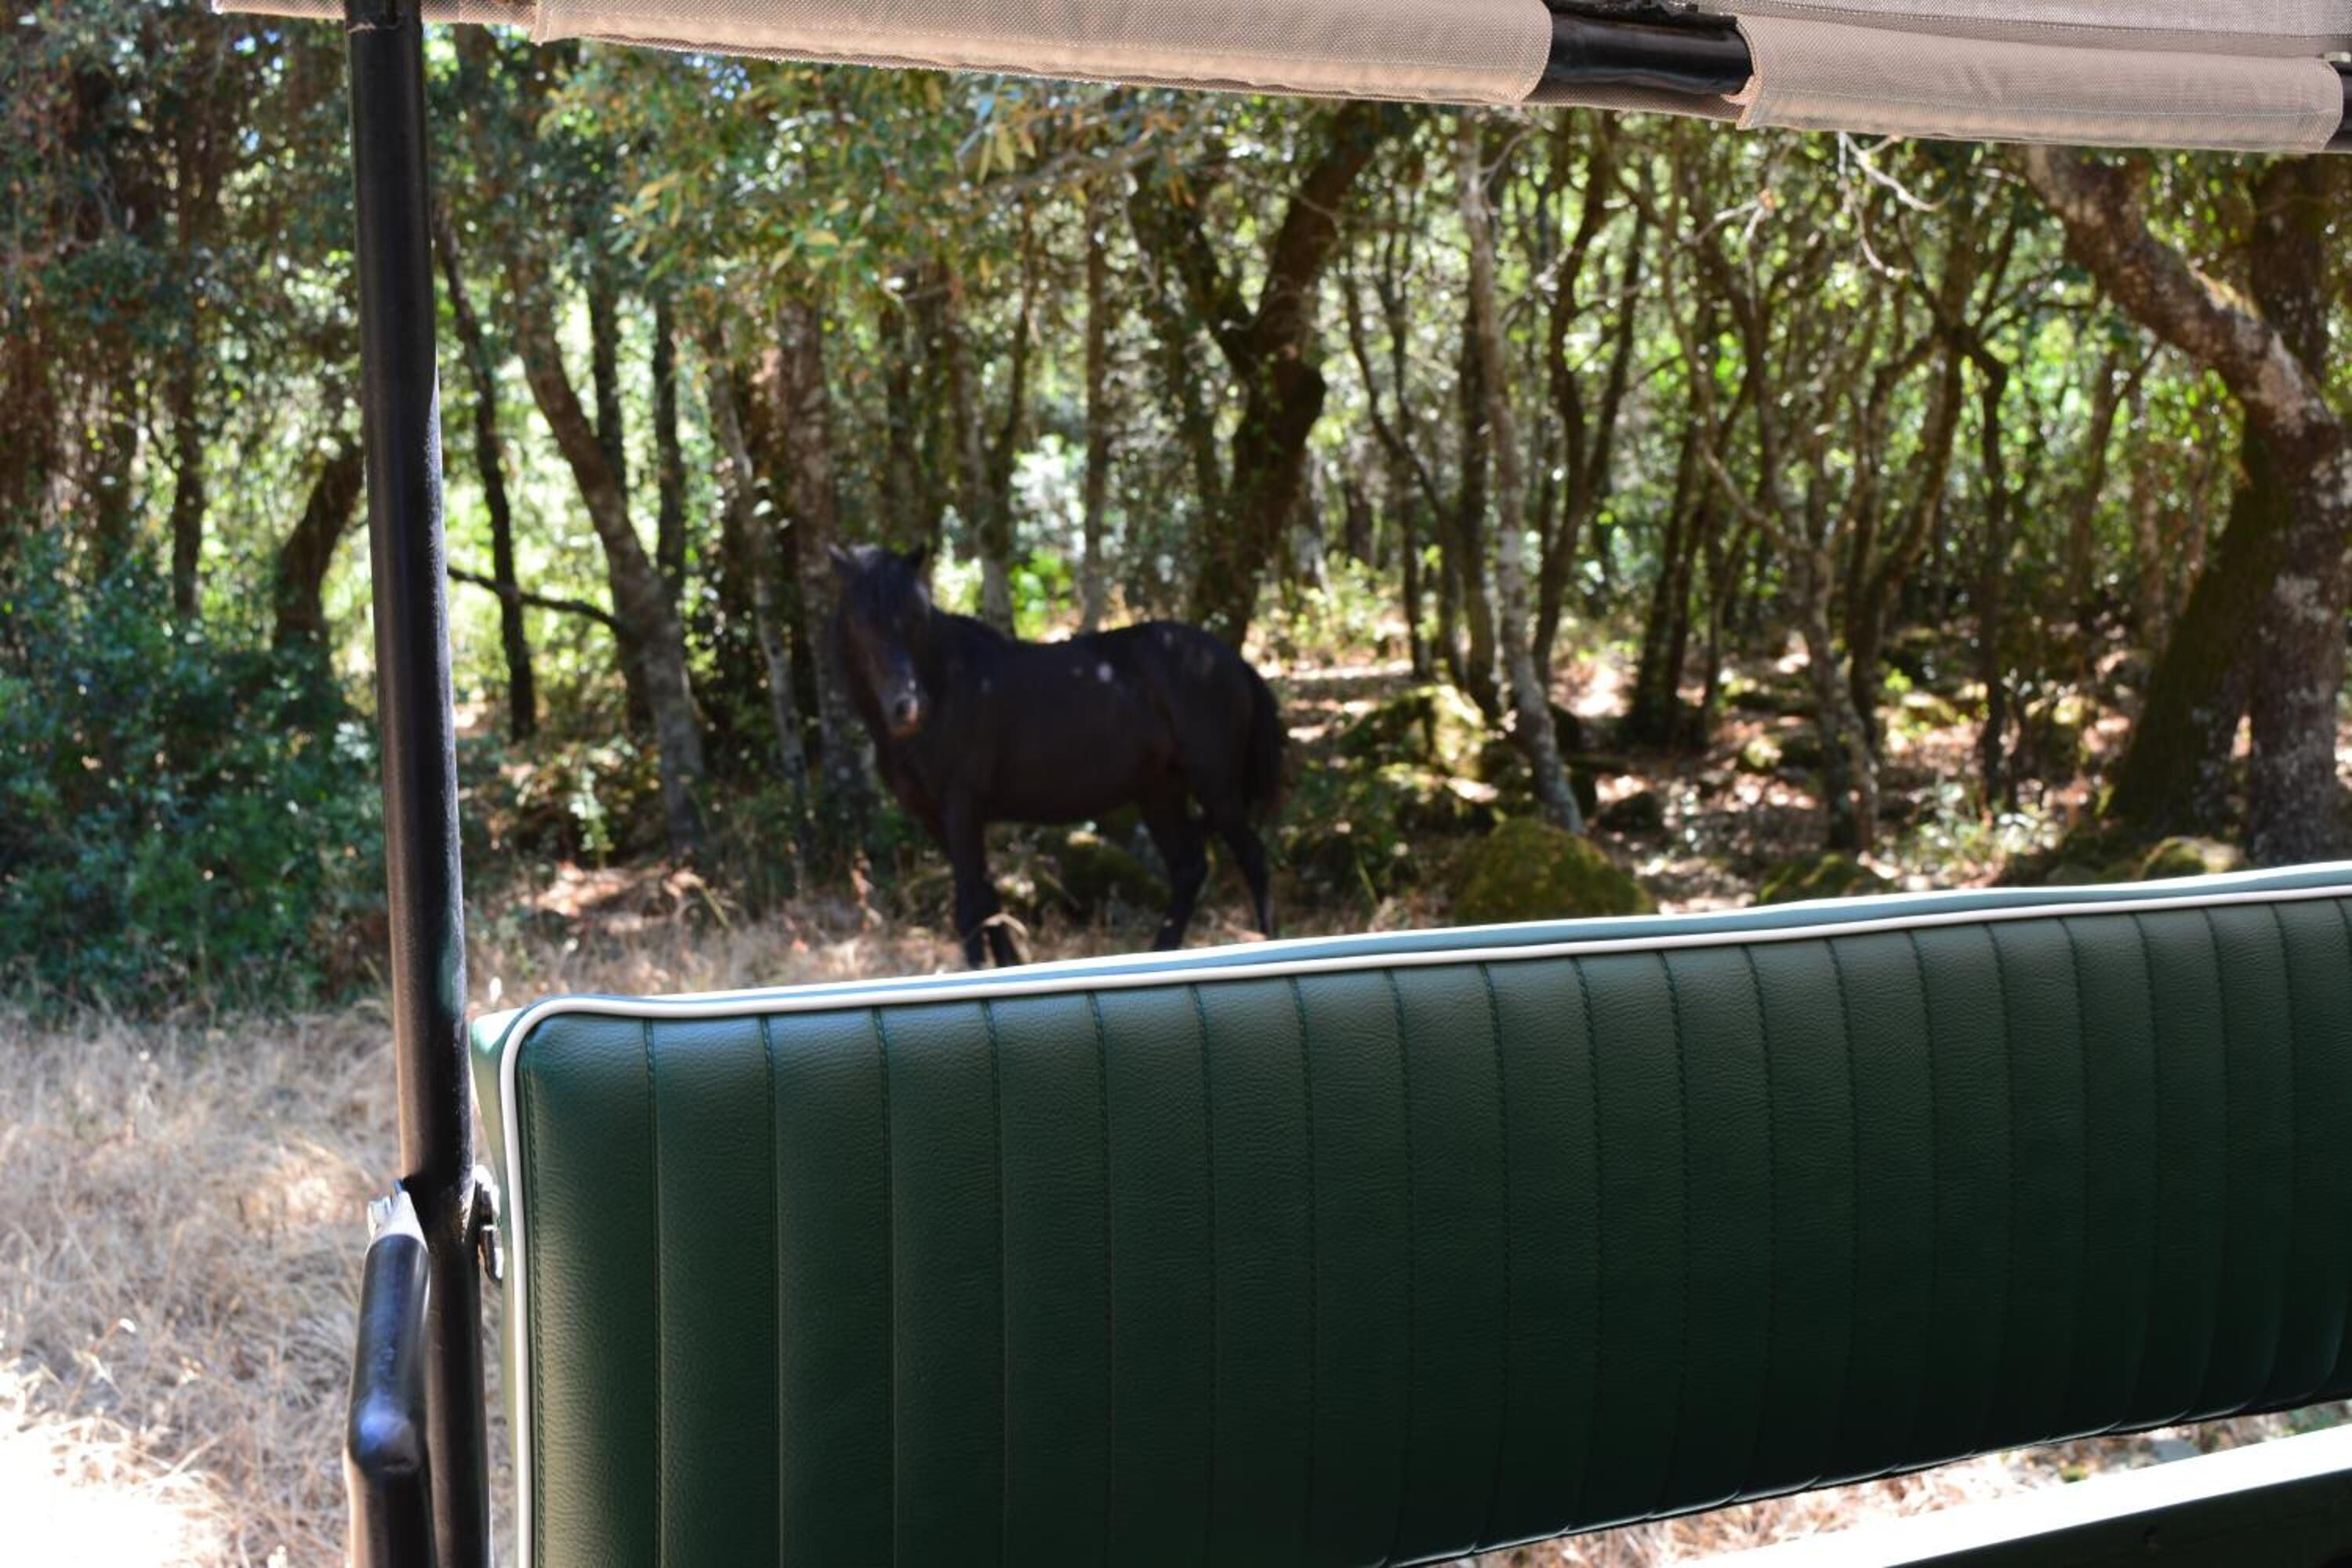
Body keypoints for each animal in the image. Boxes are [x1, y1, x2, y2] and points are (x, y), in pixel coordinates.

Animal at [829, 543, 1284, 967]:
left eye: (917, 617)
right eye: (859, 620)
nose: (910, 709)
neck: (947, 685)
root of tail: (1234, 662)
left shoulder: (960, 807)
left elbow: (971, 906)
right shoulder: (935, 817)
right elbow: (987, 898)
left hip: (1216, 787)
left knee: (1253, 859)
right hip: (1160, 792)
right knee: (1190, 869)